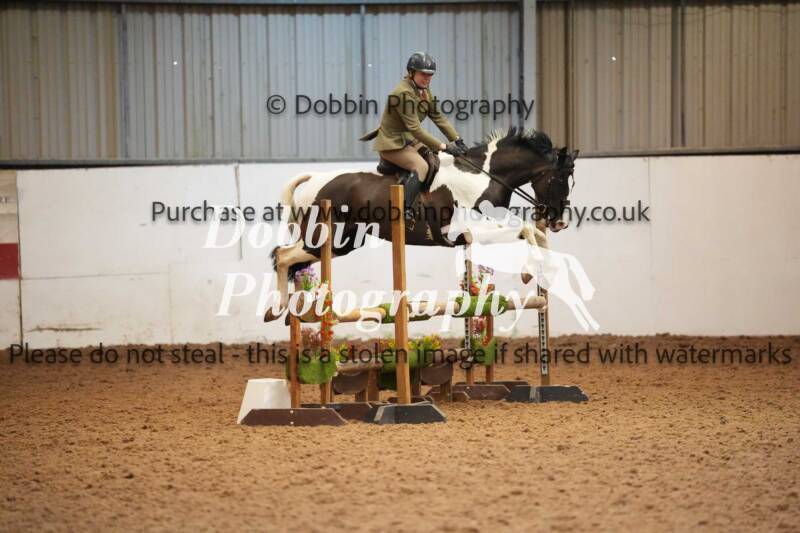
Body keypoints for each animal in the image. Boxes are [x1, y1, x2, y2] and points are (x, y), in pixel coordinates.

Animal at [266, 127, 578, 322]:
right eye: (559, 179)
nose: (560, 222)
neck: (484, 176)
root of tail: (313, 178)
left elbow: (536, 234)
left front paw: (547, 268)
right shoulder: (472, 230)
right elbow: (526, 230)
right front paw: (528, 272)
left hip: (343, 242)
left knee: (289, 257)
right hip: (323, 238)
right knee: (282, 256)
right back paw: (278, 307)